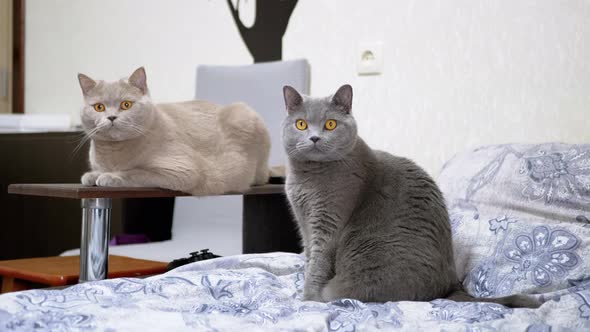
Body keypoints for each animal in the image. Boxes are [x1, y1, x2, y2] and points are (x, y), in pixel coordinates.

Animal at [77, 67, 272, 195]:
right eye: (99, 107)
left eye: (126, 105)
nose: (111, 117)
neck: (114, 153)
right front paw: (92, 175)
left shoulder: (182, 170)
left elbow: (137, 172)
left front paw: (110, 176)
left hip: (242, 112)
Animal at [282, 84, 540, 308]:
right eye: (301, 124)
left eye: (331, 124)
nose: (315, 138)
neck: (307, 179)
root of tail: (451, 285)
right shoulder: (304, 224)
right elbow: (308, 257)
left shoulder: (328, 221)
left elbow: (318, 262)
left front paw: (308, 299)